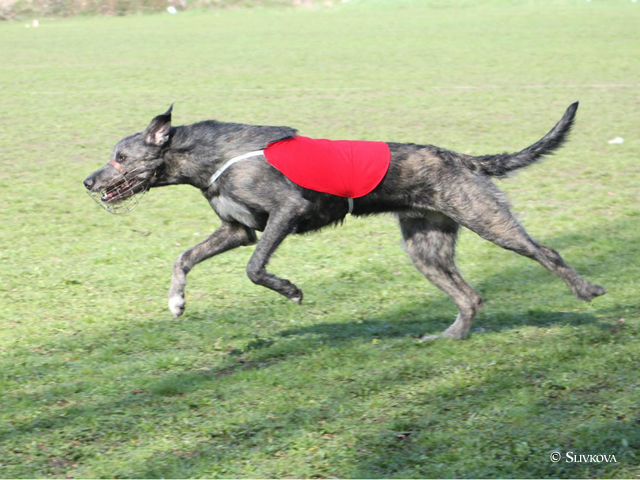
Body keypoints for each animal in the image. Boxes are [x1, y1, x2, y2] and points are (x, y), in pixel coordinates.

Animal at [84, 103, 604, 340]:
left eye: (120, 158)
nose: (88, 181)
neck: (207, 156)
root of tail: (463, 159)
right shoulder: (238, 229)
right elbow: (184, 257)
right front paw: (176, 302)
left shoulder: (284, 212)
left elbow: (254, 268)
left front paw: (290, 290)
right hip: (426, 247)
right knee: (470, 296)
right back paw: (450, 336)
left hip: (486, 218)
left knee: (547, 252)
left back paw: (586, 290)